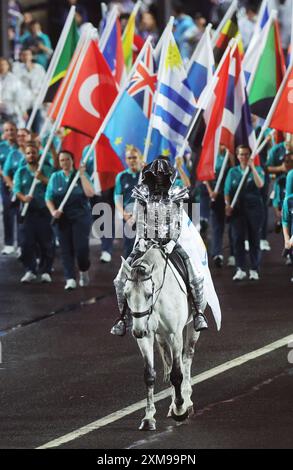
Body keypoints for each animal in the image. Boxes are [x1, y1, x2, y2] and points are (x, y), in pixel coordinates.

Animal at [120, 246, 200, 430]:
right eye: (126, 294)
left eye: (149, 294)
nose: (137, 331)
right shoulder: (147, 335)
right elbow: (150, 375)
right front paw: (148, 418)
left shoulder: (175, 333)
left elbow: (177, 374)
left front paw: (180, 410)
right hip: (161, 336)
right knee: (170, 363)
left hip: (191, 328)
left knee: (187, 359)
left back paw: (186, 401)